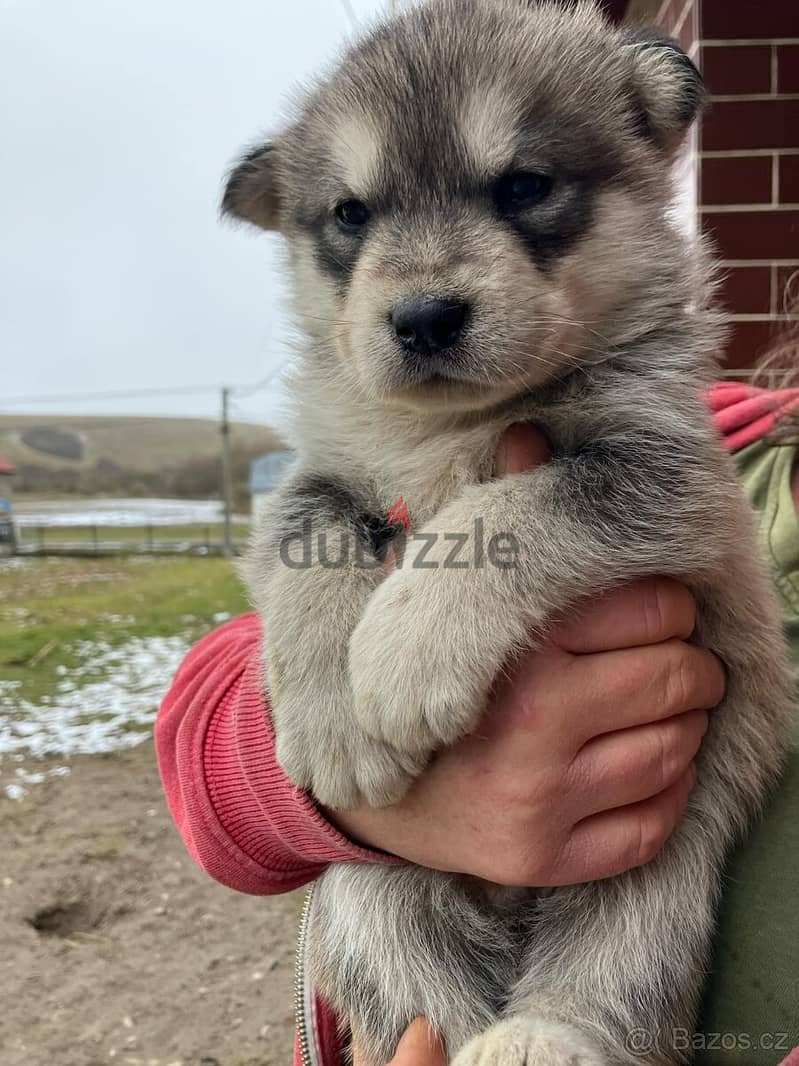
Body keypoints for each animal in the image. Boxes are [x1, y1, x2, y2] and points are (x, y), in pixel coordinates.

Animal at [223, 2, 796, 1066]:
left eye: (523, 186)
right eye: (350, 215)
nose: (422, 317)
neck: (455, 426)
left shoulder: (663, 477)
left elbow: (510, 512)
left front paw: (404, 653)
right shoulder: (309, 474)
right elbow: (308, 539)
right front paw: (331, 716)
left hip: (658, 866)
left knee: (612, 973)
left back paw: (543, 1033)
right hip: (372, 892)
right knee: (425, 997)